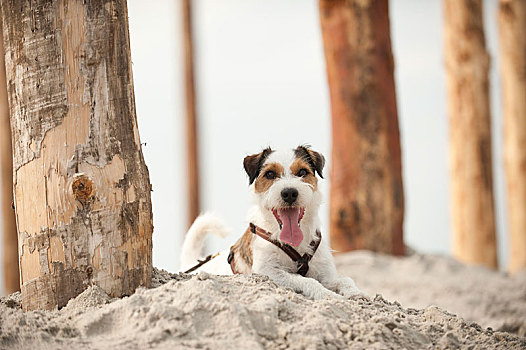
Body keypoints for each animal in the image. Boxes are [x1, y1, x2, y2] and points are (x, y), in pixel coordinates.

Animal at [182, 146, 364, 300]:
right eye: (270, 174)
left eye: (302, 172)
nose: (289, 193)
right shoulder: (267, 271)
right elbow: (306, 280)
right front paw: (327, 295)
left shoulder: (326, 274)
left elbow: (345, 280)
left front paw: (356, 293)